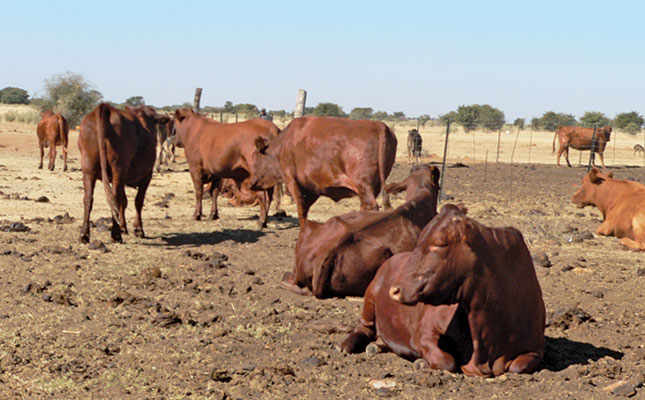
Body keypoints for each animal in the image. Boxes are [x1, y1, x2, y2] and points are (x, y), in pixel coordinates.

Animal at [78, 103, 170, 244]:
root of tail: (105, 108)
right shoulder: (146, 176)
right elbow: (138, 201)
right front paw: (138, 229)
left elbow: (124, 201)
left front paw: (123, 226)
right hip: (118, 169)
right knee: (115, 197)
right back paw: (115, 235)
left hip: (88, 169)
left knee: (88, 198)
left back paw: (84, 234)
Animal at [248, 115, 394, 228]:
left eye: (256, 159)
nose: (252, 183)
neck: (284, 145)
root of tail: (378, 125)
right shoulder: (312, 188)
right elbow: (305, 210)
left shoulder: (292, 182)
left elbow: (301, 211)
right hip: (371, 188)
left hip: (364, 186)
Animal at [342, 205, 544, 376]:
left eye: (439, 244)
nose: (395, 290)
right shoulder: (424, 334)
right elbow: (447, 361)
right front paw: (421, 362)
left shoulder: (535, 349)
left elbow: (518, 366)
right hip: (371, 295)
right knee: (363, 327)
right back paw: (347, 344)